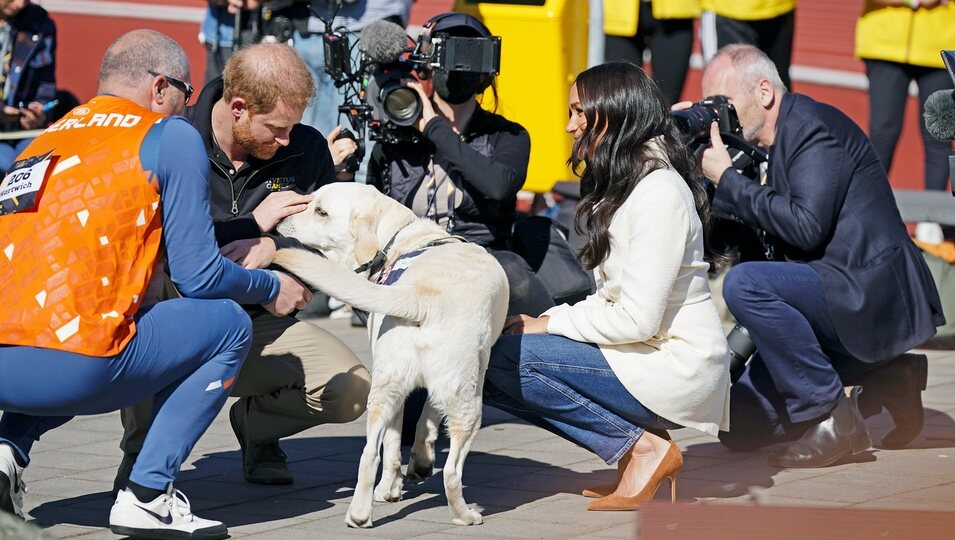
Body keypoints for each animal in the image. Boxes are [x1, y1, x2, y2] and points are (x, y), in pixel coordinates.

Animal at [272, 182, 512, 528]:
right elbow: (427, 417)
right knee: (451, 471)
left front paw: (393, 485)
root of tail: (420, 298)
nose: (278, 221)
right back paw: (464, 515)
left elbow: (397, 440)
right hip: (468, 403)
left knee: (371, 452)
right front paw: (420, 464)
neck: (399, 238)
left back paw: (361, 514)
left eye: (320, 210)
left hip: (385, 389)